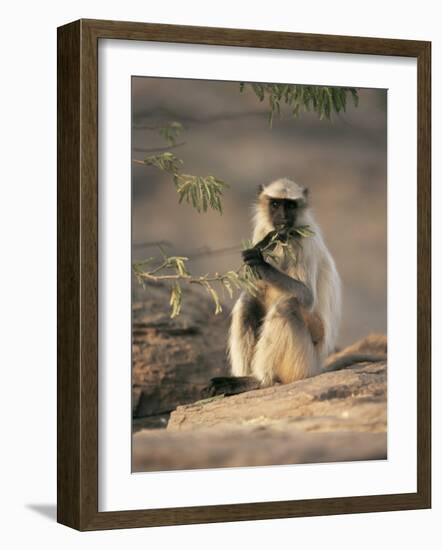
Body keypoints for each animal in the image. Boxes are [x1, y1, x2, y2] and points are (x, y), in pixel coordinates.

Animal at [205, 179, 386, 398]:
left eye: (290, 205)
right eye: (276, 204)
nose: (283, 217)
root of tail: (318, 366)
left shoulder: (302, 240)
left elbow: (307, 296)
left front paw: (260, 262)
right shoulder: (263, 229)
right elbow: (254, 287)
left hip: (305, 358)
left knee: (287, 306)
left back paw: (259, 380)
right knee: (247, 302)